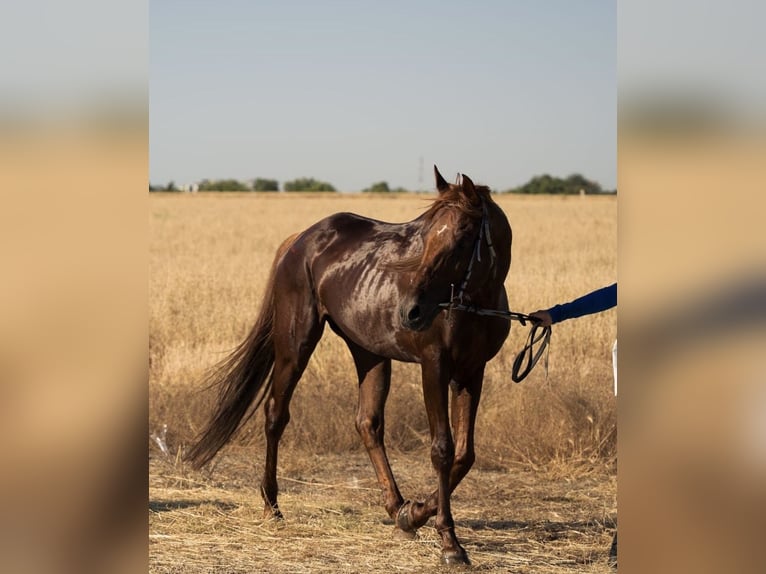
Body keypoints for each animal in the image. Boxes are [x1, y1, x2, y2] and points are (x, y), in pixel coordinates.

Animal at [186, 166, 513, 565]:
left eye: (464, 237)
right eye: (425, 235)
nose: (411, 311)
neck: (473, 305)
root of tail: (301, 239)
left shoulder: (471, 371)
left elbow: (465, 455)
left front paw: (413, 514)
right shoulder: (434, 367)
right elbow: (442, 450)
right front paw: (449, 542)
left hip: (369, 352)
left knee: (367, 423)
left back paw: (396, 507)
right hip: (296, 345)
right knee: (276, 414)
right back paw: (272, 506)